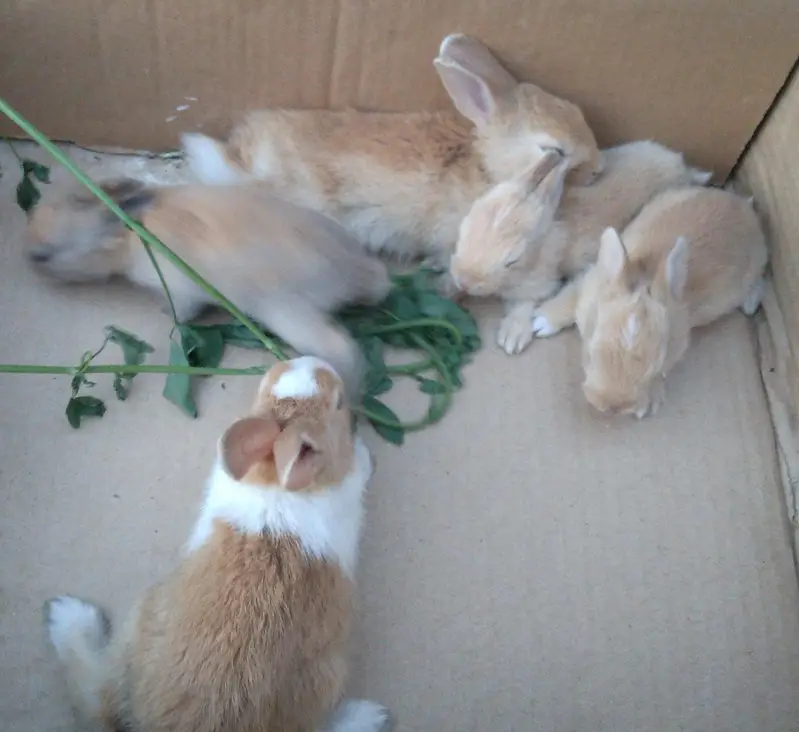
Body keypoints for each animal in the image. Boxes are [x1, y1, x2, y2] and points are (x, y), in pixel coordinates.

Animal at [23, 177, 392, 399]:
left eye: (44, 256)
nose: (25, 256)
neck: (130, 236)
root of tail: (349, 270)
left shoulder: (181, 290)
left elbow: (181, 310)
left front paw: (166, 313)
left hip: (288, 314)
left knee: (342, 348)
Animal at [181, 32, 603, 280]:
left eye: (576, 110)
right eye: (555, 151)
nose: (599, 169)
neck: (485, 164)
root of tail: (238, 159)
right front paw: (435, 266)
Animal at [448, 140, 713, 355]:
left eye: (511, 260)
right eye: (465, 224)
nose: (463, 281)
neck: (544, 243)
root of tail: (683, 167)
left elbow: (527, 303)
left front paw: (514, 337)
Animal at [531, 186, 768, 418]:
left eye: (656, 370)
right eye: (590, 354)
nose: (613, 406)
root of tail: (745, 207)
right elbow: (569, 298)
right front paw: (540, 322)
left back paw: (750, 303)